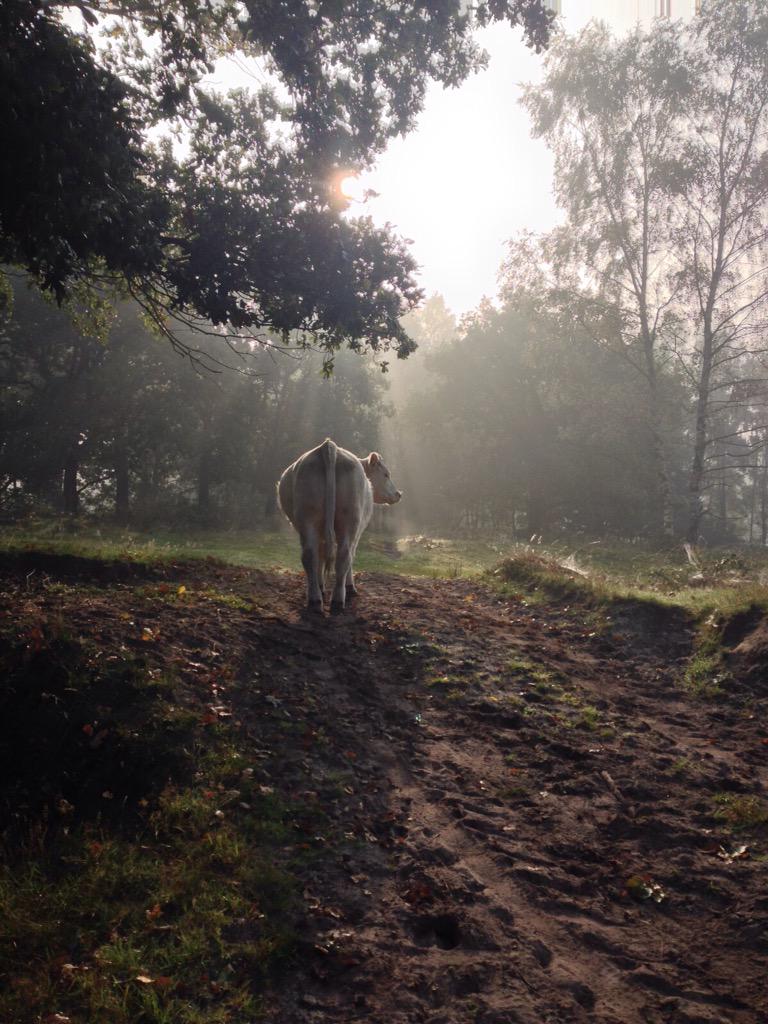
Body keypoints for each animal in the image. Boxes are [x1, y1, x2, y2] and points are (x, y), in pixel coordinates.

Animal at [277, 438, 401, 610]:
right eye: (386, 474)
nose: (398, 494)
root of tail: (328, 445)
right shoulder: (358, 531)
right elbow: (350, 556)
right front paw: (349, 586)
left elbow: (321, 555)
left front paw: (321, 586)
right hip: (350, 521)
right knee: (344, 555)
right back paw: (339, 598)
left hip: (308, 518)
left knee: (310, 554)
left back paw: (315, 598)